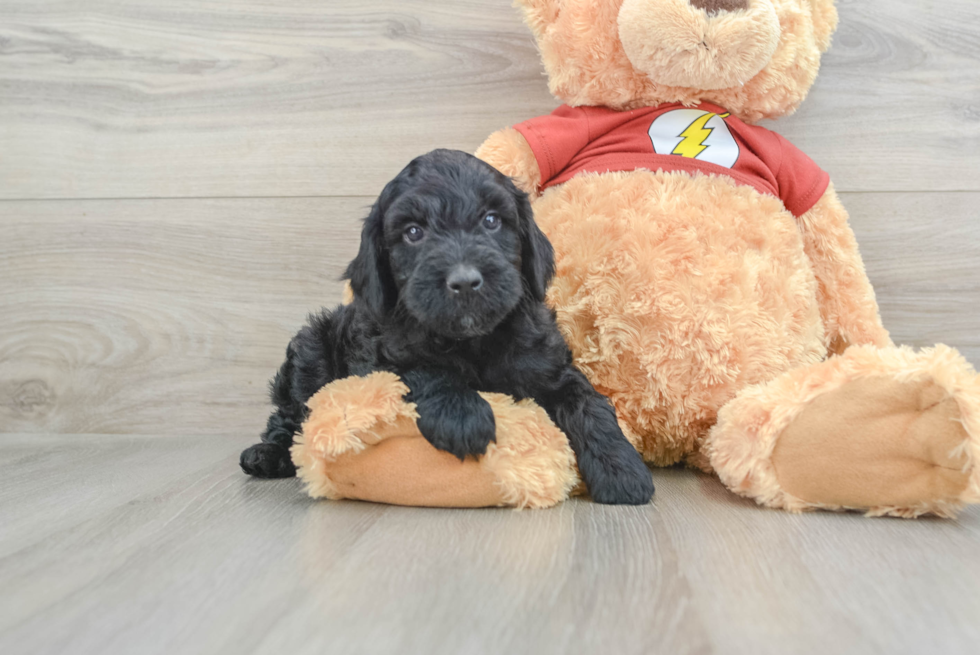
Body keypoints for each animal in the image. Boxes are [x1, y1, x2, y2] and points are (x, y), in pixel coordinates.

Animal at [241, 150, 656, 508]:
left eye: (491, 220)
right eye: (413, 232)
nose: (465, 281)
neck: (472, 341)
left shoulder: (548, 362)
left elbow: (587, 402)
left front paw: (623, 470)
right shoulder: (381, 355)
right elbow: (424, 371)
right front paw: (463, 417)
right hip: (310, 348)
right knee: (290, 416)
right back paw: (265, 454)